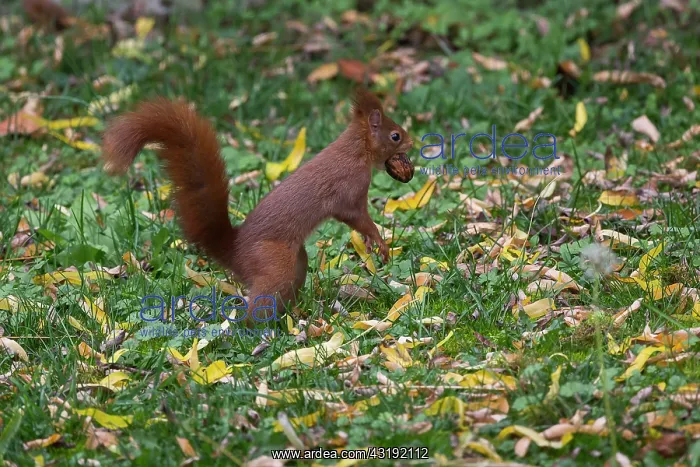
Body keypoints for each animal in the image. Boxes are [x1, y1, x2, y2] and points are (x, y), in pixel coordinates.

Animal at [102, 89, 414, 324]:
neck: (357, 149)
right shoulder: (349, 192)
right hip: (274, 263)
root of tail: (233, 251)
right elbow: (357, 217)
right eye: (395, 135)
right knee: (259, 305)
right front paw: (378, 242)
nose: (412, 142)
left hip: (295, 261)